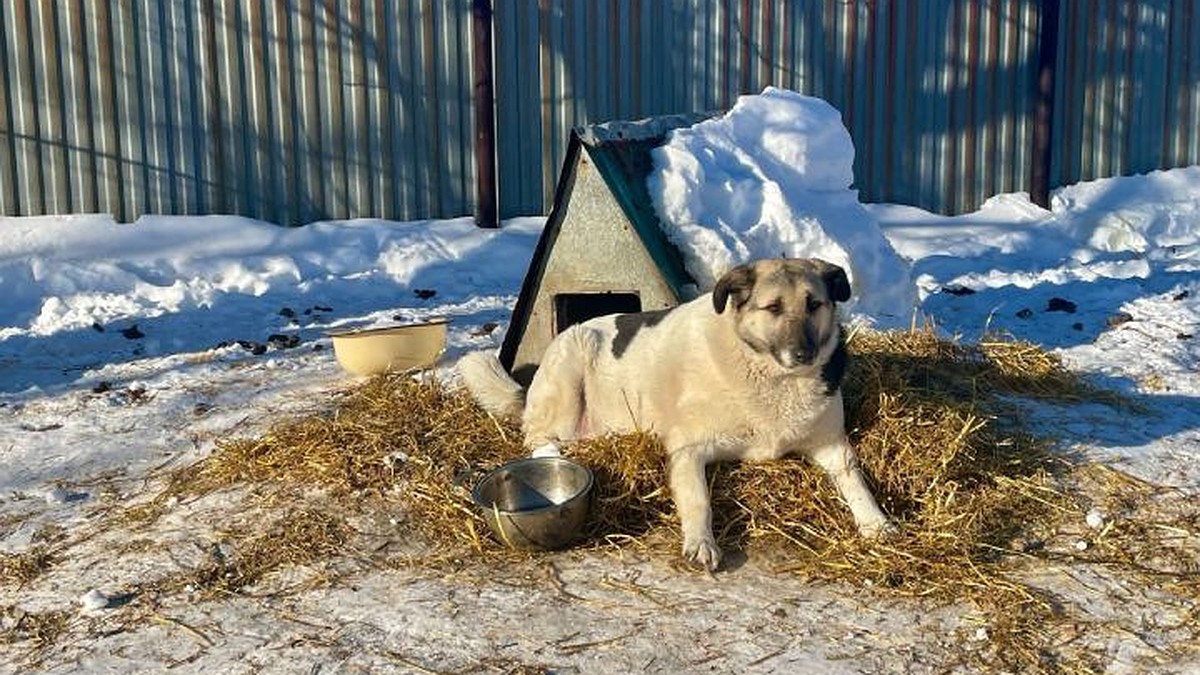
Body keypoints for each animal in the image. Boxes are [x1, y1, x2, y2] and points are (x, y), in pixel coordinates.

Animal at [458, 257, 892, 566]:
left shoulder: (833, 446)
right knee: (539, 440)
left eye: (814, 304)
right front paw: (701, 541)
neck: (769, 375)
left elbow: (856, 479)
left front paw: (876, 522)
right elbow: (699, 498)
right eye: (773, 308)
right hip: (571, 366)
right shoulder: (688, 450)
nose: (804, 354)